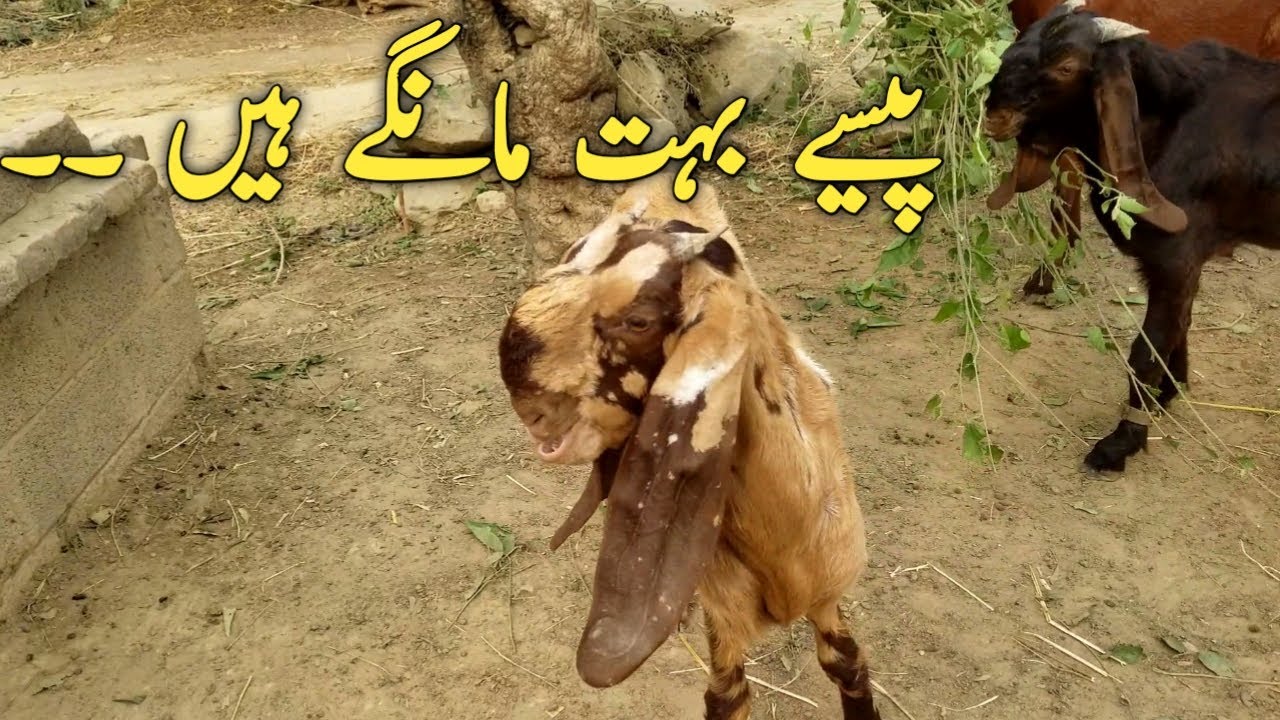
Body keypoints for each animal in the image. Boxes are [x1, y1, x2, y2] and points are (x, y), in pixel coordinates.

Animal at [496, 170, 880, 719]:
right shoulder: (724, 617)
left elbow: (847, 663)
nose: (531, 412)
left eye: (639, 321)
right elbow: (728, 696)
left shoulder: (828, 589)